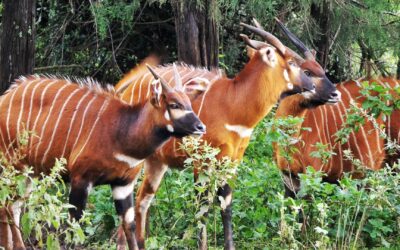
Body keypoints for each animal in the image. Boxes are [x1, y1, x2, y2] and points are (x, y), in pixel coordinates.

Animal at [0, 66, 205, 250]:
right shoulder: (81, 179)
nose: (200, 127)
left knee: (12, 206)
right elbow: (74, 225)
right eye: (174, 104)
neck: (122, 131)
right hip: (14, 167)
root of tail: (5, 97)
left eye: (188, 102)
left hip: (29, 174)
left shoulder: (123, 183)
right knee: (8, 205)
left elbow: (129, 224)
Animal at [113, 22, 316, 249]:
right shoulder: (201, 161)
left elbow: (225, 206)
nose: (311, 85)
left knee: (142, 200)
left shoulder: (231, 162)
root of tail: (128, 88)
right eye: (291, 62)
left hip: (157, 162)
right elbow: (202, 209)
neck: (233, 104)